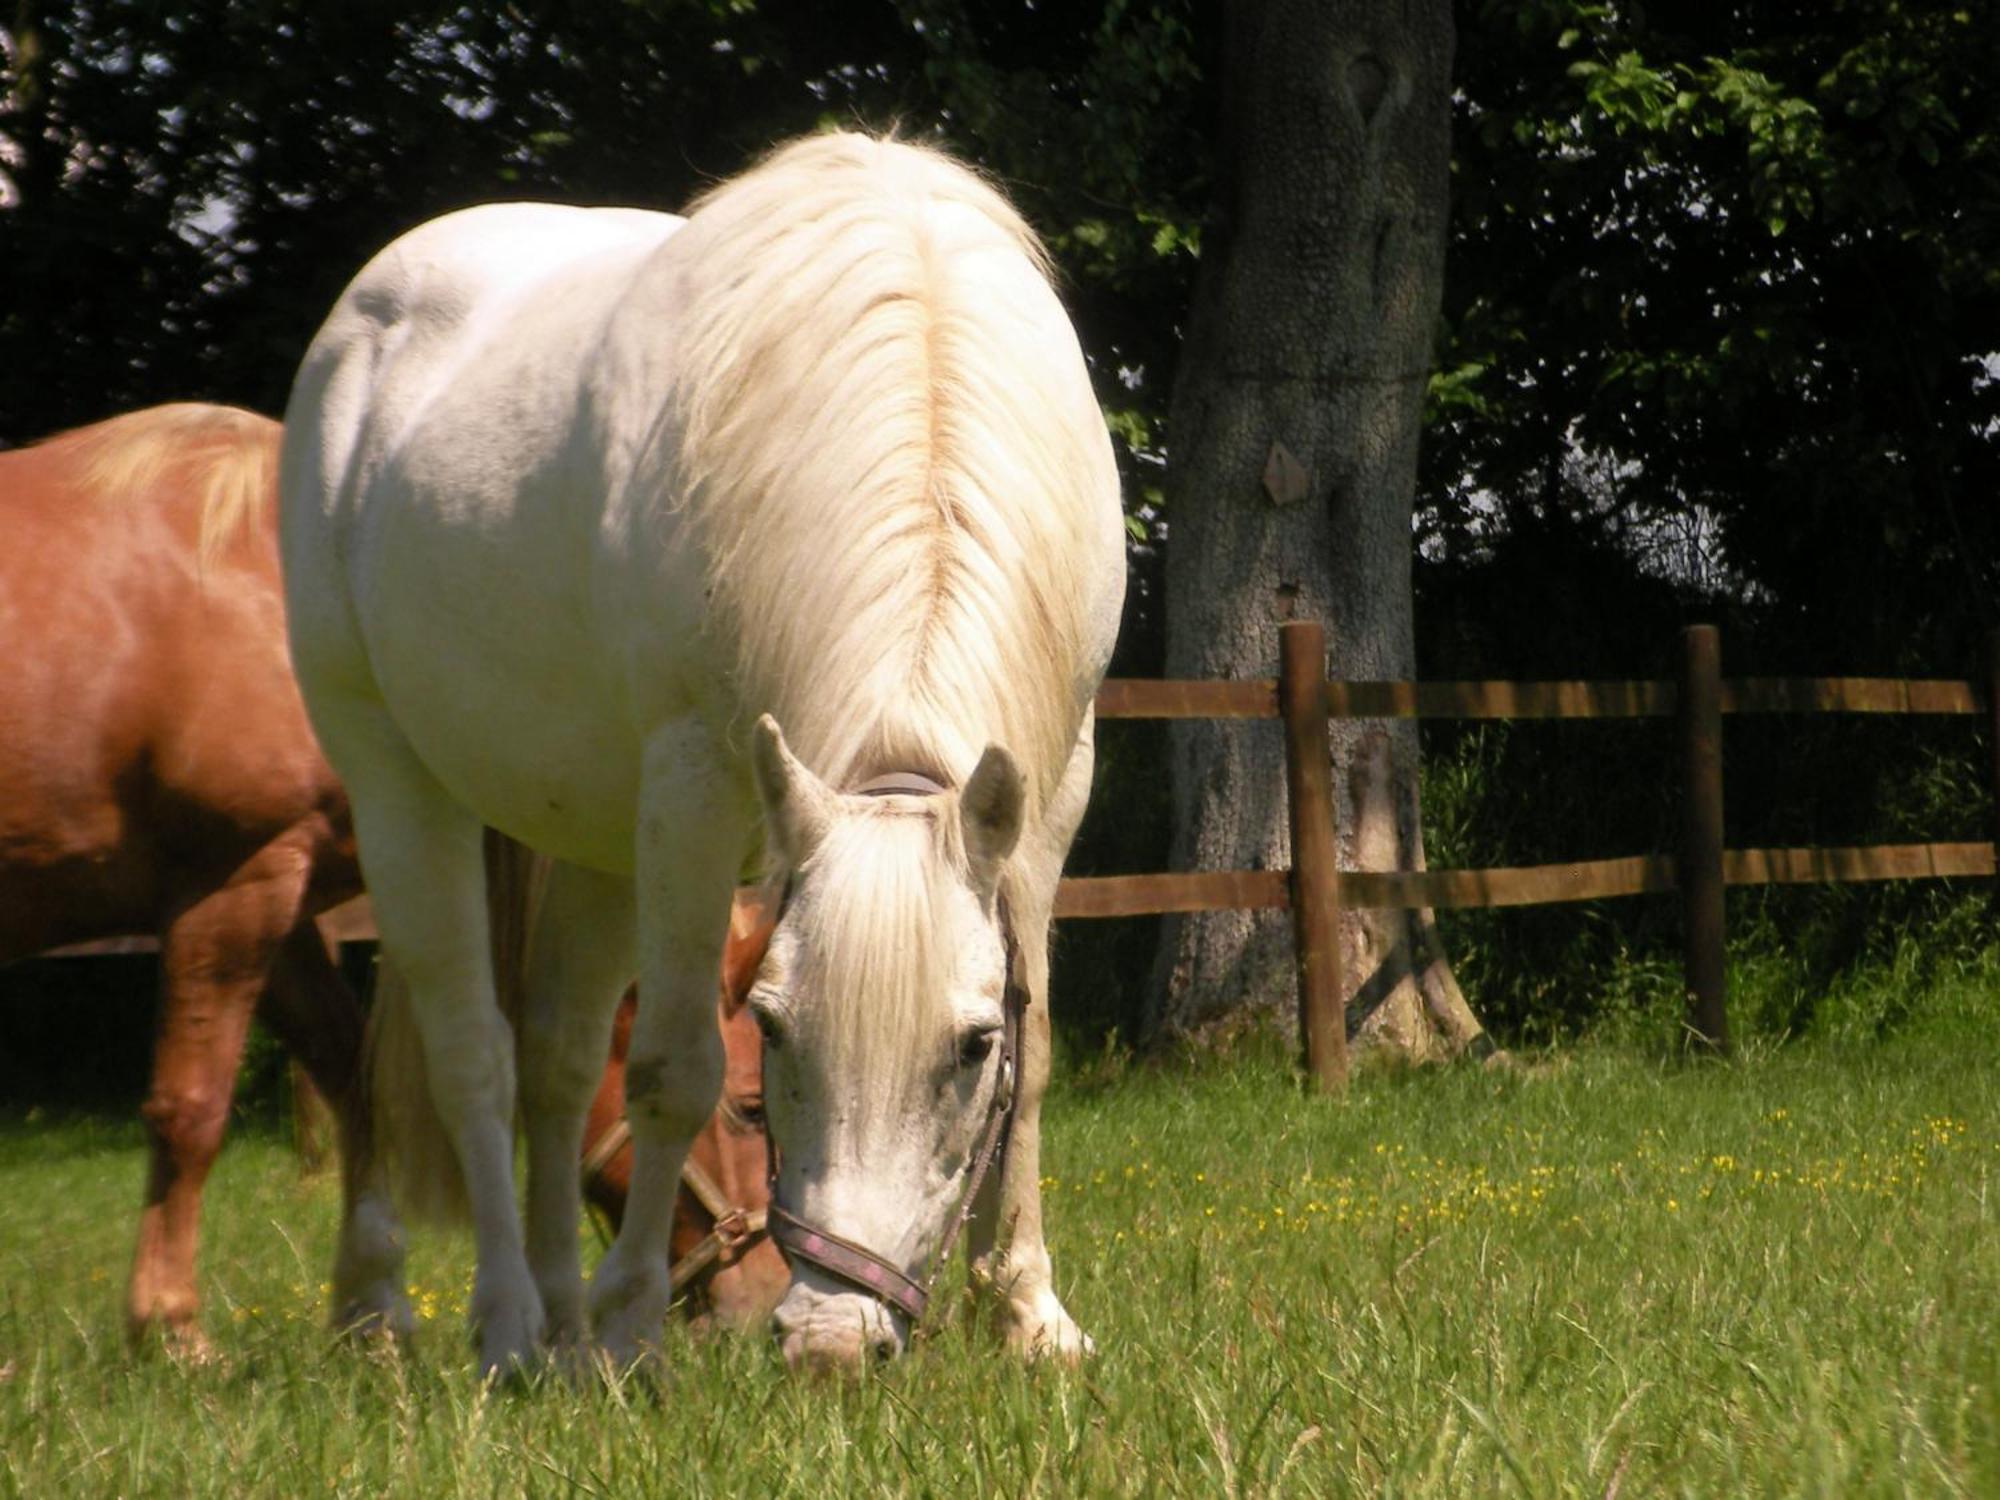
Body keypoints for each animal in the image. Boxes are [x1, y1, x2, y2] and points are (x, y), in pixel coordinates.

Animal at [1, 406, 772, 1360]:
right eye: (750, 1107)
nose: (761, 1304)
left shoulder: (281, 903)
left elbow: (350, 1078)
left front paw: (372, 1306)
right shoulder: (228, 889)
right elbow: (190, 1109)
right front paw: (171, 1327)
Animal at [278, 135, 1128, 1384]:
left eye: (969, 1047)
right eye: (770, 1031)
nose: (828, 1342)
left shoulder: (1049, 793)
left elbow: (1037, 1061)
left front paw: (1030, 1316)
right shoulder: (690, 787)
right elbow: (672, 1069)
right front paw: (634, 1330)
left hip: (591, 842)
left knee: (558, 1060)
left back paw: (562, 1331)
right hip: (398, 784)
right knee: (474, 1052)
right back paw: (505, 1327)